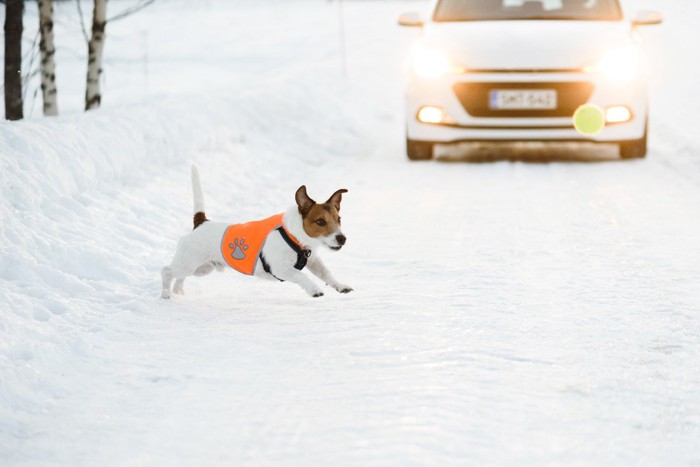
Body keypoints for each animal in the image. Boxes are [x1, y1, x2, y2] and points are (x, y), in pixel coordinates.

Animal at [161, 167, 352, 300]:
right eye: (320, 221)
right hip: (187, 263)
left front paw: (340, 285)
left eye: (339, 219)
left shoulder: (313, 261)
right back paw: (166, 293)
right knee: (167, 271)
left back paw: (178, 290)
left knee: (180, 277)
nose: (342, 239)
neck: (294, 235)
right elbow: (301, 275)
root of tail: (201, 222)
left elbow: (326, 273)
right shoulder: (281, 268)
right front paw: (314, 289)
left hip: (202, 268)